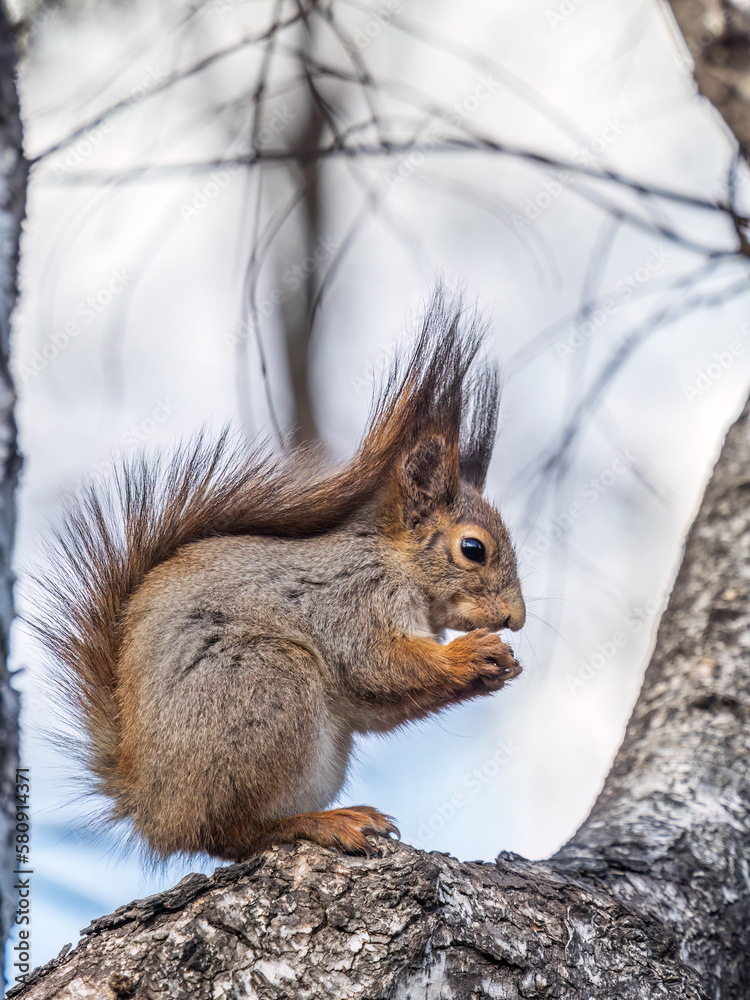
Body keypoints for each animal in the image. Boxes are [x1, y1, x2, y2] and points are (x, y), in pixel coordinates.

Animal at [34, 290, 526, 861]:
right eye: (473, 549)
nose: (516, 619)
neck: (396, 563)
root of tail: (154, 809)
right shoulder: (351, 598)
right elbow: (376, 665)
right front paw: (473, 654)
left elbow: (379, 706)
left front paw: (496, 669)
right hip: (265, 685)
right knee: (231, 832)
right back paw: (323, 822)